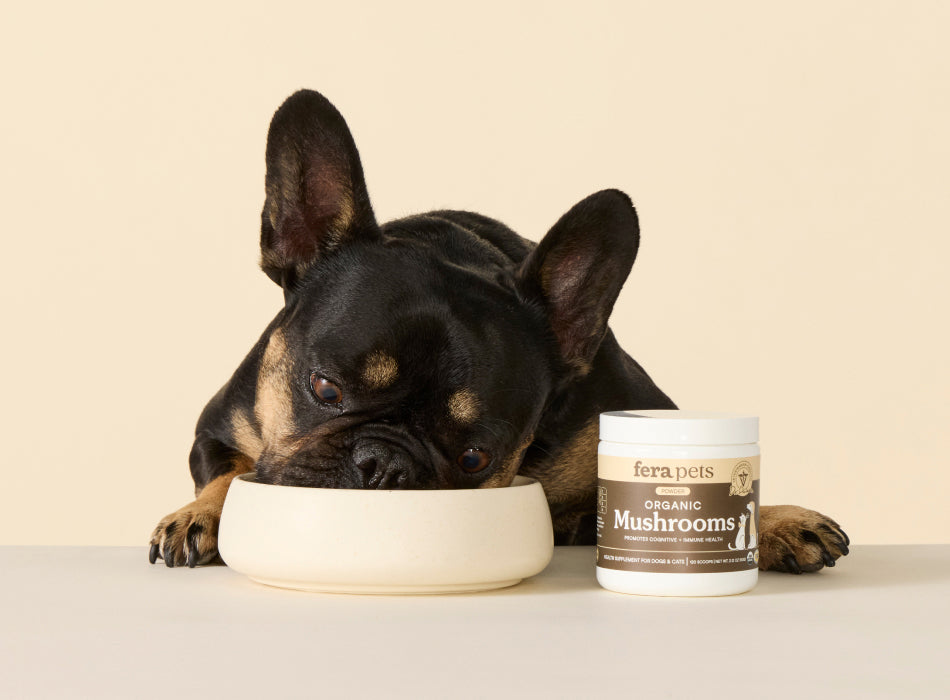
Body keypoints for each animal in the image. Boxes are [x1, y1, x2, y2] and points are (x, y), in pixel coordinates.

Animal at [149, 89, 849, 575]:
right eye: (323, 389)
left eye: (474, 458)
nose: (383, 464)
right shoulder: (217, 429)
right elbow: (226, 473)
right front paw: (198, 515)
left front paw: (778, 519)